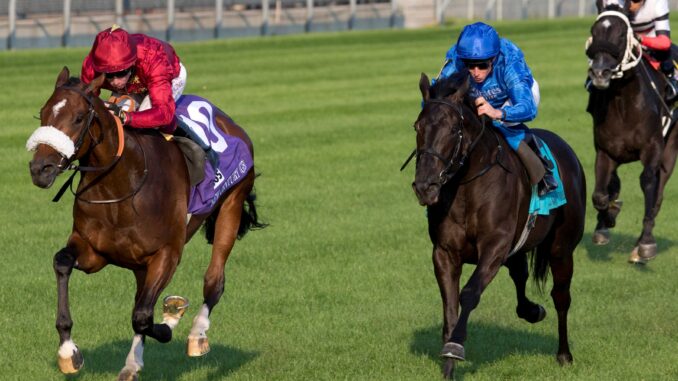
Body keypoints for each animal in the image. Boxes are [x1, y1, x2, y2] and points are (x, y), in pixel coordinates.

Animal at [26, 67, 266, 378]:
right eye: (42, 113)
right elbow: (62, 262)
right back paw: (133, 362)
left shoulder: (166, 254)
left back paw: (197, 334)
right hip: (140, 264)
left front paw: (171, 318)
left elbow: (142, 316)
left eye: (78, 117)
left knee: (213, 281)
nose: (39, 169)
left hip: (232, 204)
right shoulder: (94, 252)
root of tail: (229, 122)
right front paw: (68, 351)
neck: (121, 188)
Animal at [412, 72, 588, 378]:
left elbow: (469, 293)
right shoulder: (445, 253)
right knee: (520, 274)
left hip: (562, 248)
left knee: (561, 296)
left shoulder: (494, 247)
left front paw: (455, 348)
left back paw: (564, 354)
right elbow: (449, 306)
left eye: (453, 129)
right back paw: (532, 311)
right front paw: (448, 368)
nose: (425, 186)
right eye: (417, 126)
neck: (466, 187)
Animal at [588, 2, 678, 262]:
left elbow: (648, 183)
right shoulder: (605, 151)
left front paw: (646, 243)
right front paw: (606, 221)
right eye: (594, 31)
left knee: (658, 194)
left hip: (670, 150)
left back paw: (640, 245)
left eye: (620, 34)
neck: (624, 104)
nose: (600, 73)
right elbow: (600, 194)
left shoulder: (653, 147)